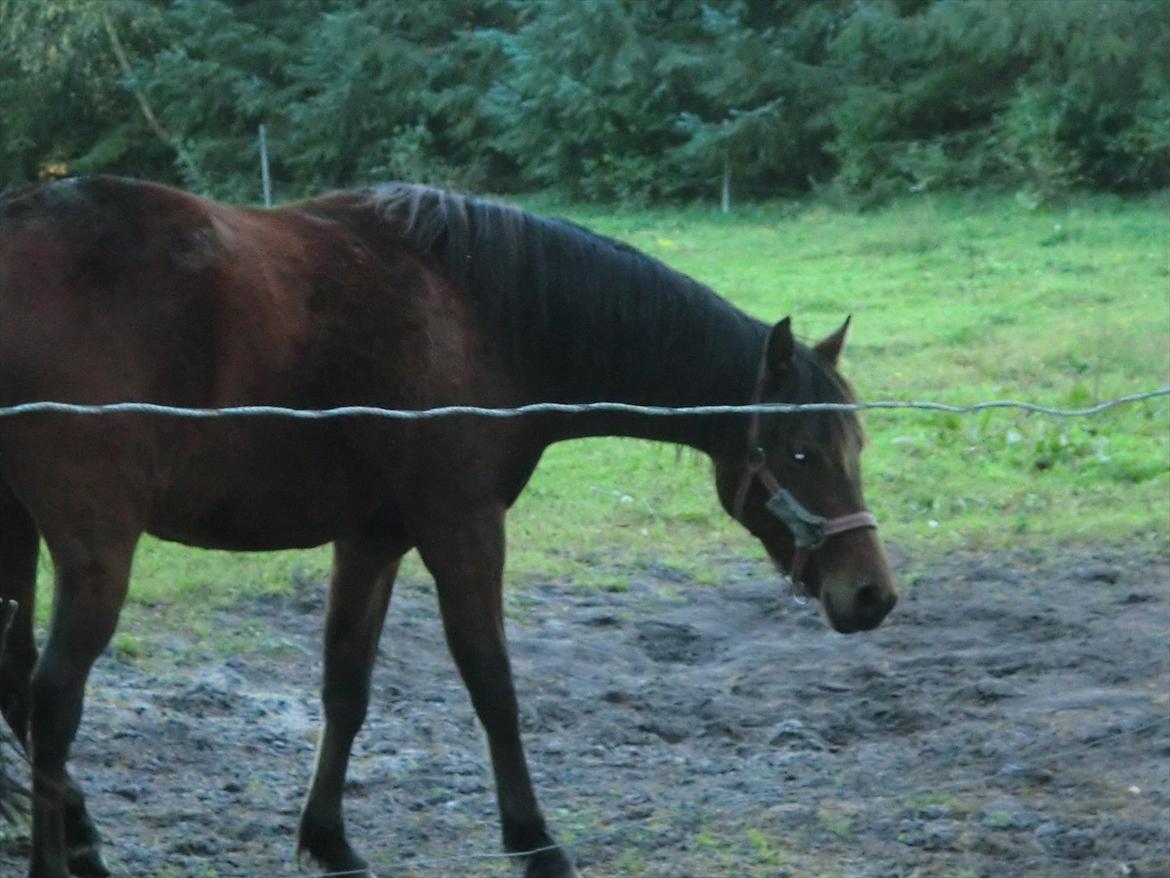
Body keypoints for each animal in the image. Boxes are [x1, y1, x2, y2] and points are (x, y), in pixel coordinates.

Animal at [0, 176, 897, 878]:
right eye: (803, 451)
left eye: (855, 445)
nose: (872, 594)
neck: (486, 311)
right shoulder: (463, 528)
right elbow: (493, 684)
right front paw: (536, 843)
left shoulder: (372, 540)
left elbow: (347, 688)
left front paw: (330, 841)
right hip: (95, 549)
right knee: (52, 697)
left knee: (18, 688)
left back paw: (81, 842)